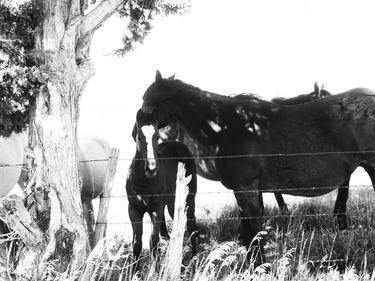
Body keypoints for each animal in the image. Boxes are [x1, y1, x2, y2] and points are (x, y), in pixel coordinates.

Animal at [127, 109, 200, 260]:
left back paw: (195, 258)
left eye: (157, 138)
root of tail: (179, 143)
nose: (151, 169)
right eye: (139, 137)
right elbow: (136, 243)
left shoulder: (155, 209)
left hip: (188, 199)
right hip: (172, 203)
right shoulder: (134, 210)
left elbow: (153, 241)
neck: (143, 184)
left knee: (191, 226)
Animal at [140, 70, 375, 254]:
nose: (138, 123)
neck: (225, 126)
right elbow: (250, 234)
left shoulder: (247, 189)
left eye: (147, 99)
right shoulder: (245, 191)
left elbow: (254, 234)